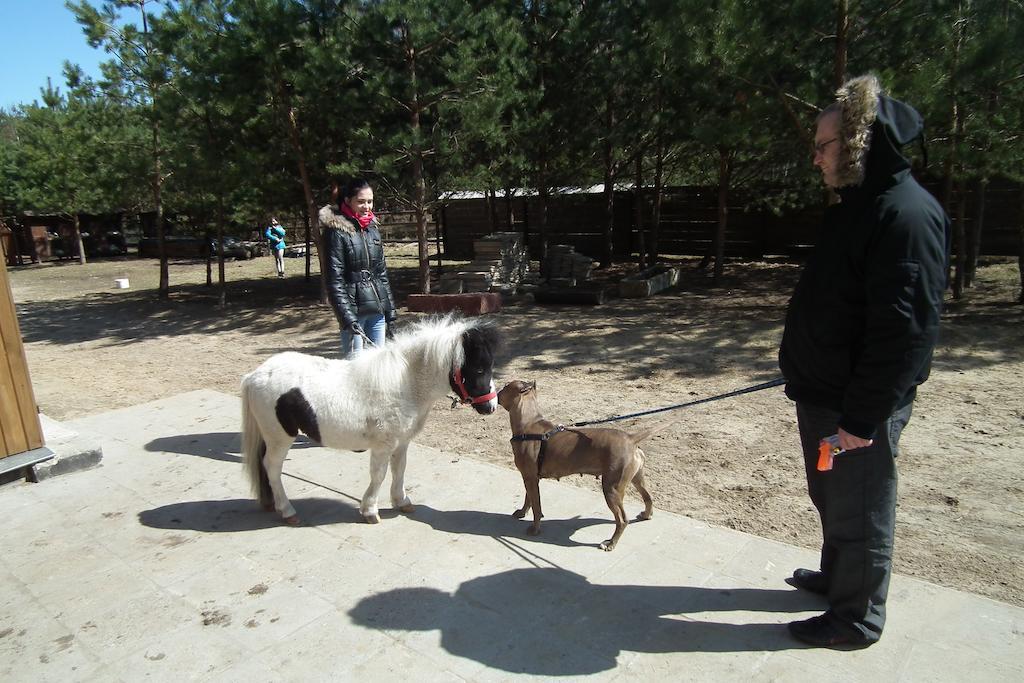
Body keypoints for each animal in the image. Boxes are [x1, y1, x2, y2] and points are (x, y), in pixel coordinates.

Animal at [237, 315, 497, 524]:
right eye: (478, 369)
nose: (491, 406)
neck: (405, 384)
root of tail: (254, 376)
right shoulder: (383, 445)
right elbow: (379, 475)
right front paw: (370, 510)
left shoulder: (401, 443)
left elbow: (399, 469)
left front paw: (401, 501)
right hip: (280, 438)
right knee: (272, 467)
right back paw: (287, 511)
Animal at [497, 378, 659, 548]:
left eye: (506, 386)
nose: (496, 392)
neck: (528, 423)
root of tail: (630, 438)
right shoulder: (530, 477)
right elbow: (528, 498)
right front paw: (522, 512)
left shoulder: (530, 478)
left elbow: (536, 506)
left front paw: (535, 529)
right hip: (636, 478)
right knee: (648, 496)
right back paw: (646, 514)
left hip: (611, 488)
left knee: (622, 519)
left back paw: (610, 543)